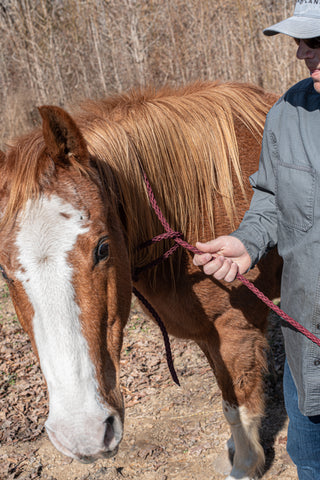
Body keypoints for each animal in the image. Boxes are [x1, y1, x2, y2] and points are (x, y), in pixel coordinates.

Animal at [0, 80, 280, 478]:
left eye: (103, 248)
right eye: (3, 270)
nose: (82, 433)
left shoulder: (236, 329)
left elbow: (239, 407)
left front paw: (244, 465)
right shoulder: (208, 334)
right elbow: (227, 401)